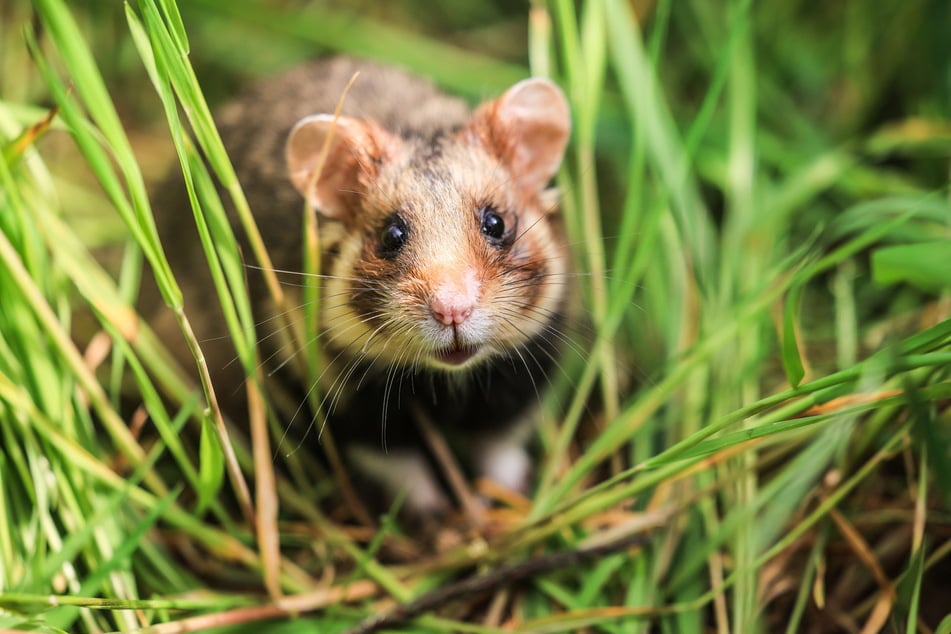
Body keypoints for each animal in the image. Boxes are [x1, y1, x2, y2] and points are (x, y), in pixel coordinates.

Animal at [149, 56, 572, 516]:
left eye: (495, 223)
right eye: (391, 235)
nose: (452, 311)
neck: (445, 379)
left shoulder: (522, 377)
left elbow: (500, 447)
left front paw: (504, 497)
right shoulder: (348, 403)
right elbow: (400, 464)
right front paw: (434, 513)